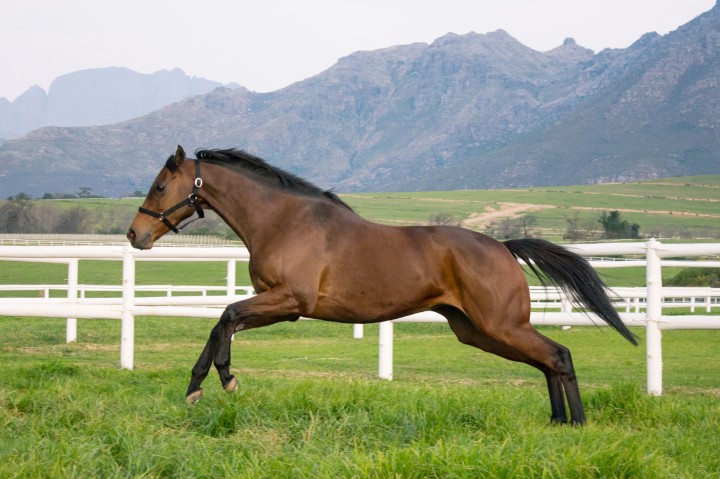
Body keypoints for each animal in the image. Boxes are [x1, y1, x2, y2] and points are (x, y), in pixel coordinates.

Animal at [128, 145, 636, 424]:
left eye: (159, 186)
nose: (134, 235)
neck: (284, 220)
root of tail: (503, 248)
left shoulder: (289, 302)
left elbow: (226, 316)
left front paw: (221, 380)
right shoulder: (278, 304)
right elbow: (223, 323)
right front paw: (200, 386)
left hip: (501, 326)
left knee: (558, 355)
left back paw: (576, 425)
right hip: (477, 331)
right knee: (547, 362)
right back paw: (557, 422)